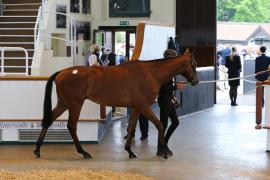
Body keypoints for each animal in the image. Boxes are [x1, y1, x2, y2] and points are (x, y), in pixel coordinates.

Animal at [33, 48, 198, 159]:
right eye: (194, 64)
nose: (196, 81)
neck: (151, 73)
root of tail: (62, 72)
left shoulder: (136, 108)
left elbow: (131, 127)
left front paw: (130, 151)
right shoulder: (144, 107)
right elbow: (159, 124)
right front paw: (163, 151)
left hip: (63, 104)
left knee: (49, 120)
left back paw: (37, 149)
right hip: (75, 105)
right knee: (71, 126)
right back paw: (83, 152)